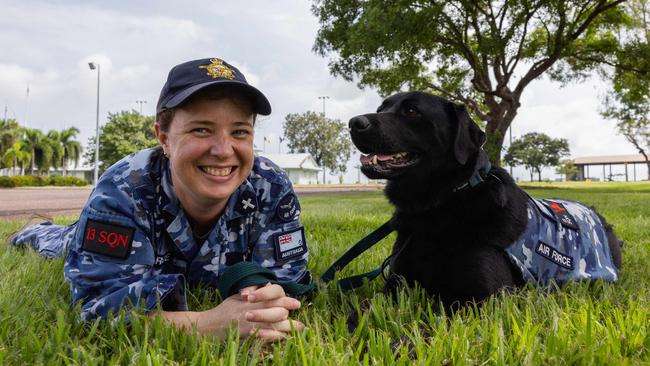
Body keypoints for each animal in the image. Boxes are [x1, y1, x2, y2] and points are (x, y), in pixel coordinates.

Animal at [346, 90, 620, 310]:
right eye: (381, 109)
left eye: (412, 111)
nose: (353, 122)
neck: (440, 204)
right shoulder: (394, 287)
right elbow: (363, 310)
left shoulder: (486, 299)